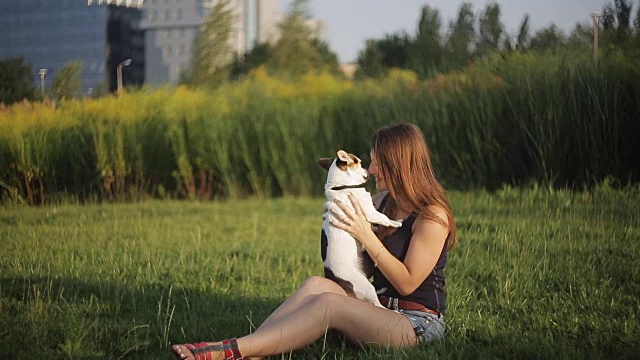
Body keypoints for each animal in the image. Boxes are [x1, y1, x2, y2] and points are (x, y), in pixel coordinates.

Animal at [318, 149, 402, 306]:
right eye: (360, 163)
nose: (368, 170)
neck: (342, 186)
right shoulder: (370, 212)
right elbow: (384, 218)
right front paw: (397, 222)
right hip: (364, 285)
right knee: (376, 304)